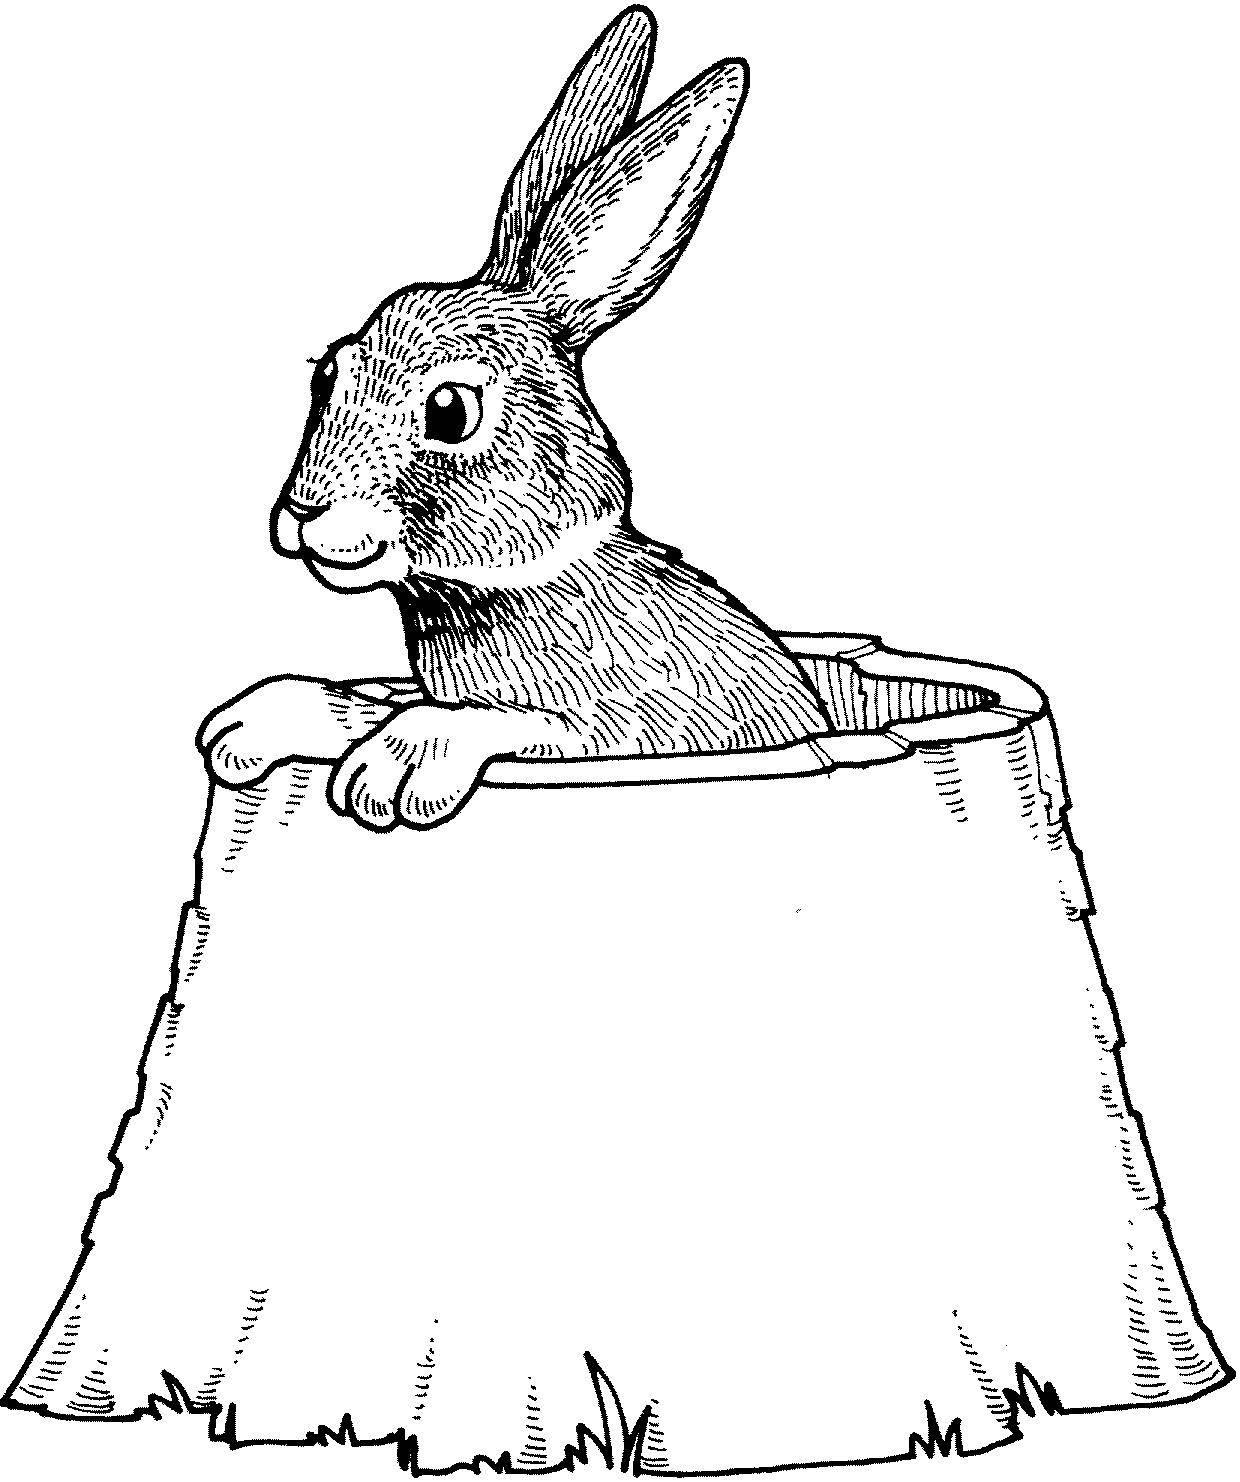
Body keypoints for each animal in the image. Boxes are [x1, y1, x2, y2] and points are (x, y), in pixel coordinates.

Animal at [198, 6, 833, 830]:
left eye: (449, 410)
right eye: (328, 373)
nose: (305, 512)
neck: (516, 586)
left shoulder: (623, 733)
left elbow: (512, 722)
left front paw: (392, 771)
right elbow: (365, 703)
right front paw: (251, 726)